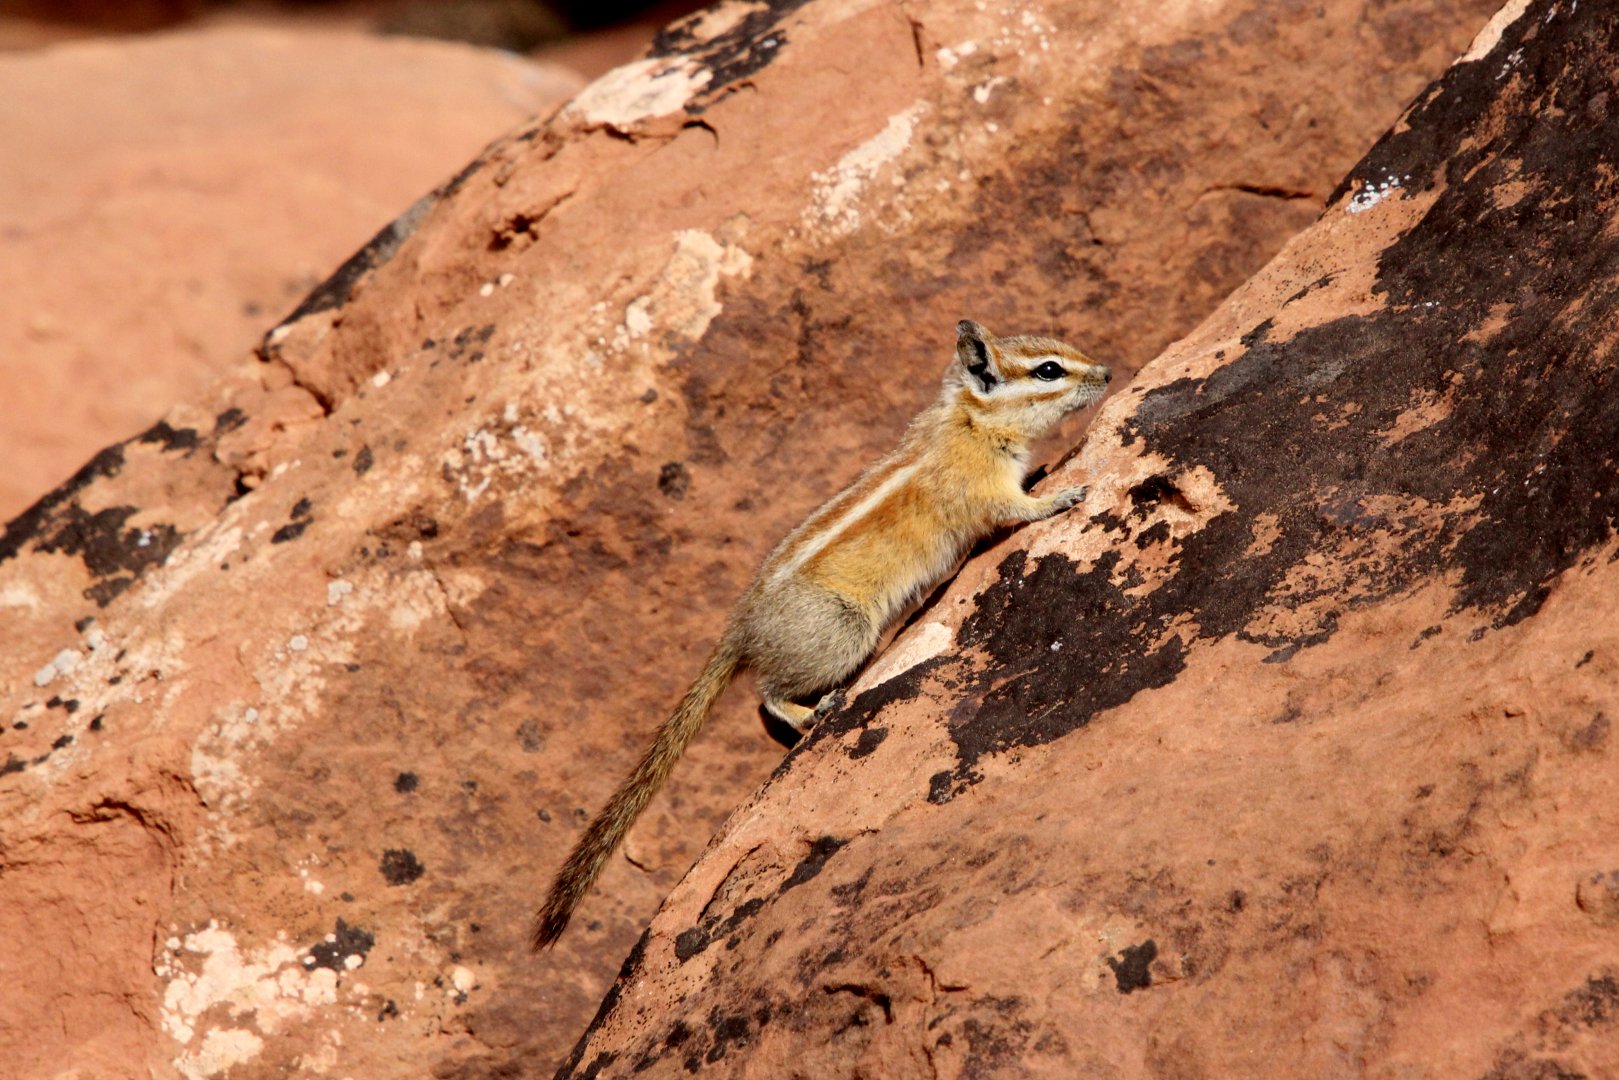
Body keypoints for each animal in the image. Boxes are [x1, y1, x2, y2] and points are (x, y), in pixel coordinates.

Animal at [531, 319, 1110, 949]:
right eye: (1049, 370)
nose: (1108, 373)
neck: (968, 421)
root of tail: (741, 627)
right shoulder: (980, 490)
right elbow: (1014, 510)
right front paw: (1058, 496)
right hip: (844, 631)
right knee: (766, 696)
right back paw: (813, 713)